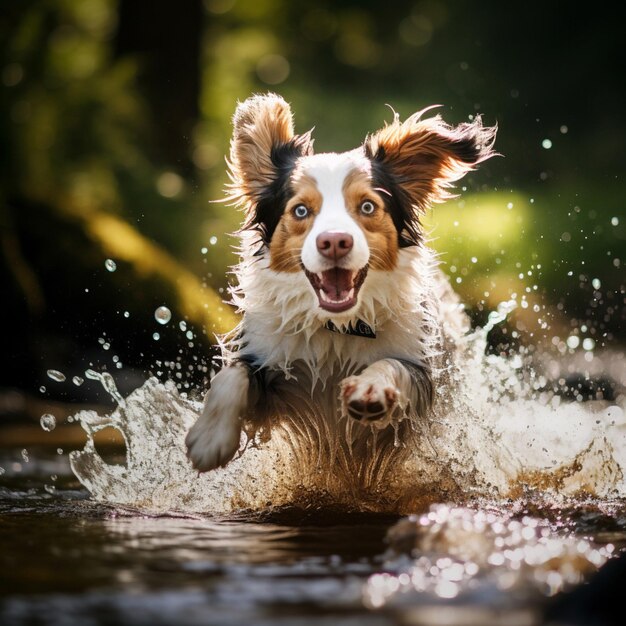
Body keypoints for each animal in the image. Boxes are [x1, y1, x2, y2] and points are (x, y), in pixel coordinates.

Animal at [183, 91, 494, 482]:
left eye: (367, 206)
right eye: (300, 211)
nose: (334, 242)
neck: (337, 327)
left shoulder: (421, 374)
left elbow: (392, 366)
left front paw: (371, 388)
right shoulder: (269, 362)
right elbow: (231, 375)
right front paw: (210, 438)